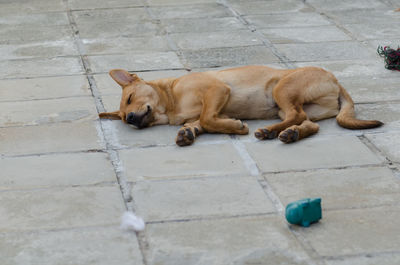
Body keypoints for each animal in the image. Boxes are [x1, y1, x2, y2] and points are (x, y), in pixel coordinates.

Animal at [98, 65, 382, 145]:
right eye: (122, 117)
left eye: (130, 99)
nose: (130, 119)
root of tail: (335, 80)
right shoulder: (202, 111)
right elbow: (201, 123)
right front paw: (188, 132)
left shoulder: (216, 90)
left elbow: (208, 118)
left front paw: (235, 126)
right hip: (298, 107)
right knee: (309, 123)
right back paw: (289, 133)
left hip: (281, 89)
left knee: (295, 114)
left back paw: (271, 131)